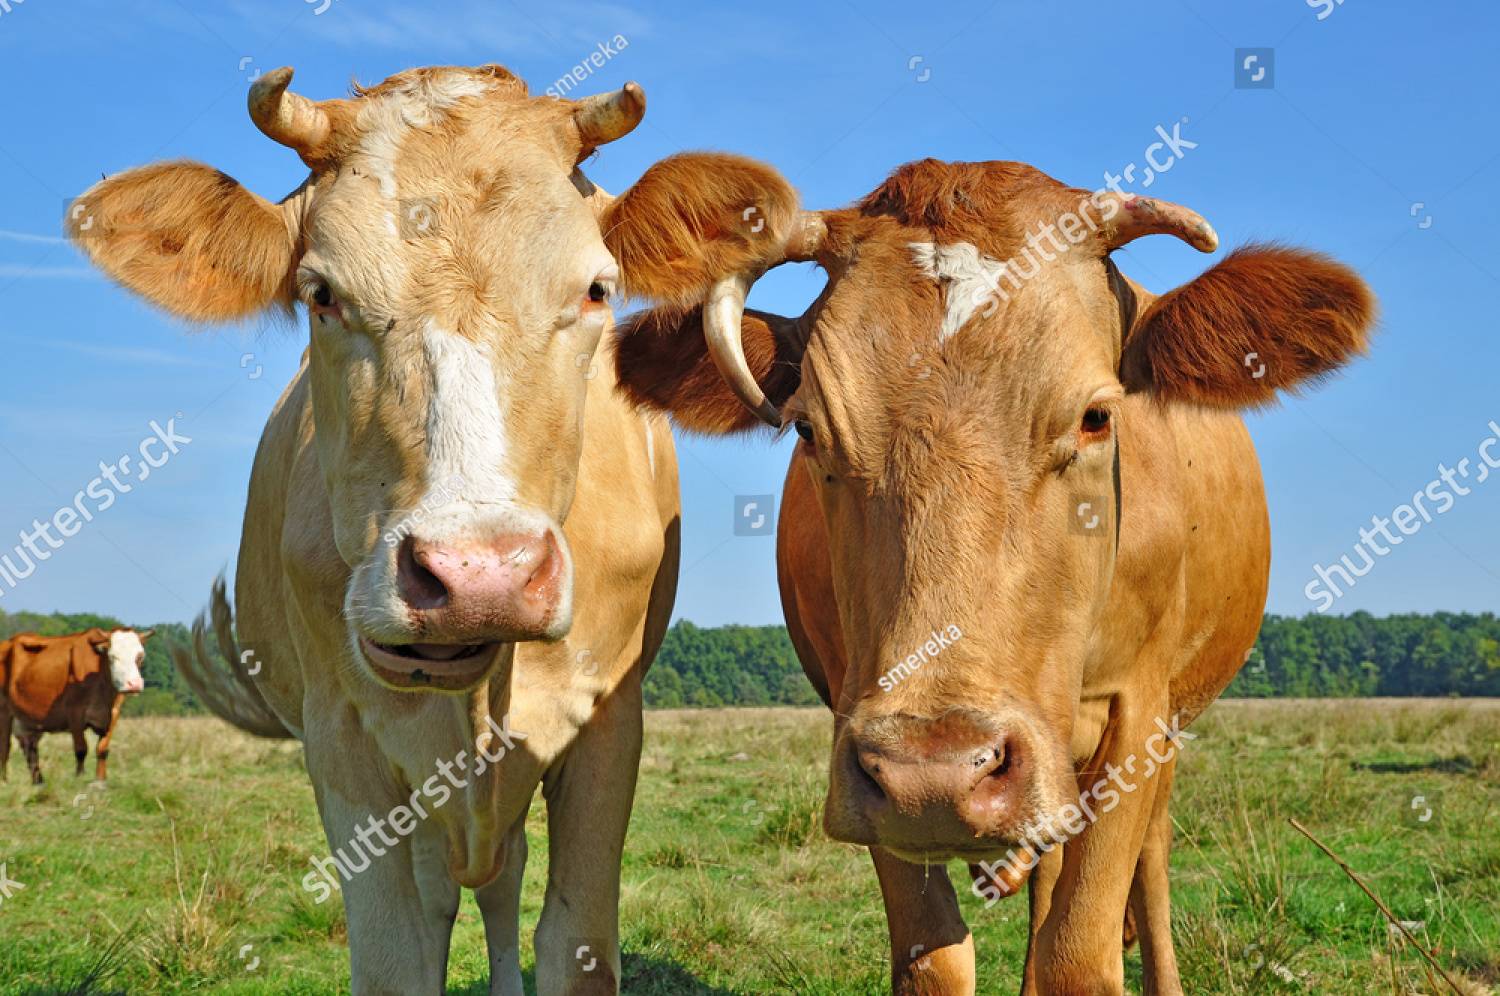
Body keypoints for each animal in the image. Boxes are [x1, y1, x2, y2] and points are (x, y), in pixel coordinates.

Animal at [0, 628, 149, 784]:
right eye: (113, 656)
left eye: (140, 656)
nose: (134, 684)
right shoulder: (75, 713)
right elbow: (81, 749)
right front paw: (79, 777)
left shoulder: (114, 714)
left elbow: (102, 749)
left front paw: (100, 779)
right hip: (4, 711)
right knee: (5, 747)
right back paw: (4, 782)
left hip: (27, 719)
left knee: (30, 748)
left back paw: (38, 782)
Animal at [66, 65, 687, 995]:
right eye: (321, 295)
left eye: (595, 290)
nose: (479, 576)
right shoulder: (344, 740)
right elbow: (399, 952)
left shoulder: (610, 719)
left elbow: (573, 945)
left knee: (500, 881)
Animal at [597, 153, 1374, 995]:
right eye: (808, 428)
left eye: (1096, 416)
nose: (937, 772)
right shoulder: (859, 735)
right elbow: (936, 956)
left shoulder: (1139, 709)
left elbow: (1080, 953)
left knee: (1152, 862)